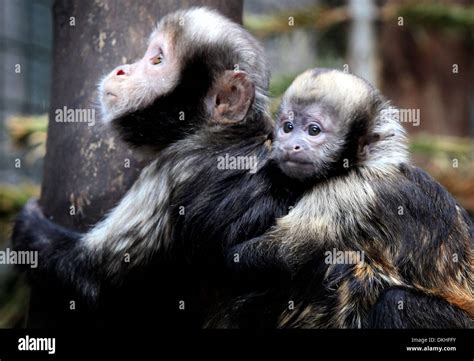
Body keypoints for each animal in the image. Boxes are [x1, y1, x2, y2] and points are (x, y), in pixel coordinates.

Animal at [12, 8, 308, 328]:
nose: (122, 71)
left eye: (157, 60)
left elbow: (93, 281)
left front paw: (27, 223)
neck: (227, 133)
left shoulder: (175, 166)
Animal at [218, 68, 470, 330]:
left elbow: (283, 254)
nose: (291, 145)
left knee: (388, 296)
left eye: (314, 130)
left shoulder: (348, 191)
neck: (363, 164)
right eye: (288, 127)